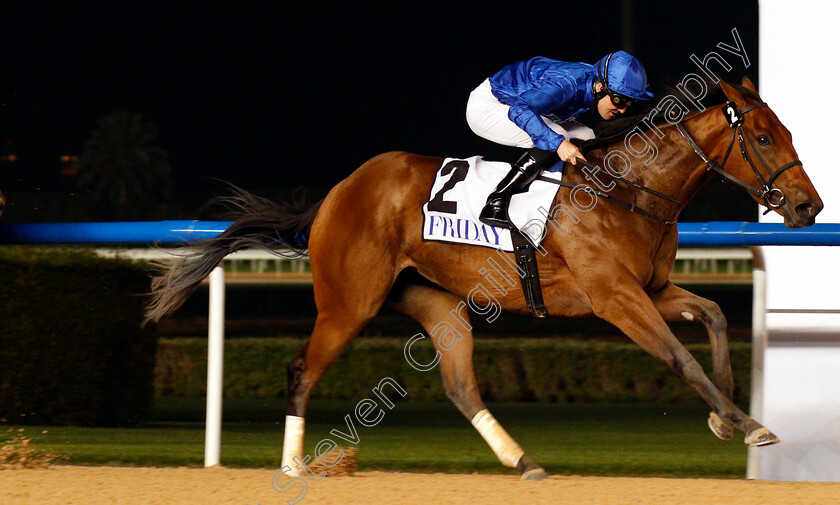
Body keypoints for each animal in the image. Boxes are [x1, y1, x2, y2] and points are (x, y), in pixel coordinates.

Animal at [144, 77, 820, 478]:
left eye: (787, 130)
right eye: (764, 136)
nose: (808, 207)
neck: (630, 190)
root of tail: (335, 195)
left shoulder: (651, 288)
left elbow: (713, 314)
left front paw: (729, 417)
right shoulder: (615, 297)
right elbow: (679, 357)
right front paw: (744, 424)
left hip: (438, 303)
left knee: (461, 386)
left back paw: (523, 462)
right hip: (348, 303)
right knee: (301, 370)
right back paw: (290, 467)